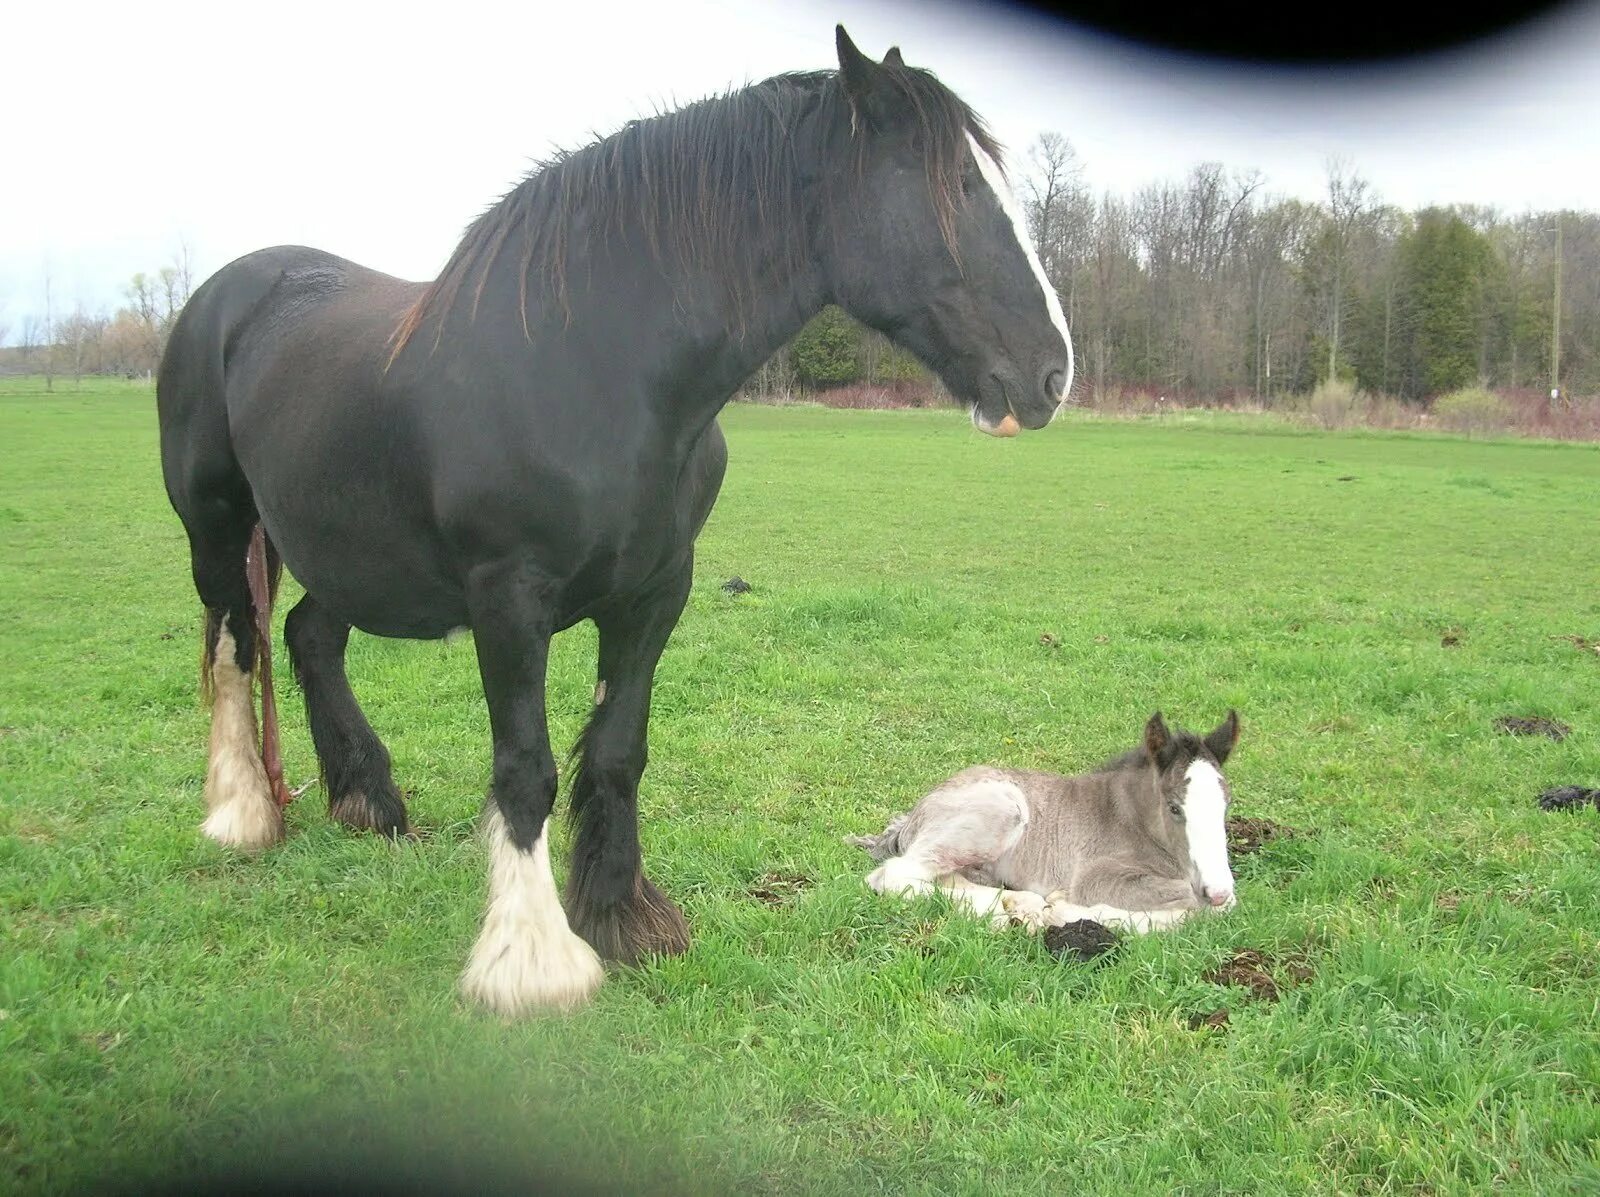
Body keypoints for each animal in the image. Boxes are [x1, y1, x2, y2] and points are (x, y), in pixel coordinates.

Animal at [156, 28, 1075, 1017]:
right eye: (961, 187)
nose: (1053, 371)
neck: (598, 367)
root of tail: (228, 293)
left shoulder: (655, 590)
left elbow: (615, 752)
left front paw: (622, 916)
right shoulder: (509, 596)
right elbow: (526, 768)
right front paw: (532, 962)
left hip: (346, 550)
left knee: (306, 636)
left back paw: (367, 800)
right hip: (220, 529)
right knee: (233, 645)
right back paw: (242, 813)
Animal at [851, 710, 1235, 934]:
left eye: (1226, 803)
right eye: (1174, 807)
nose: (1216, 889)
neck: (1132, 818)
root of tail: (913, 815)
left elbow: (1215, 905)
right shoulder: (1096, 877)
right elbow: (1197, 904)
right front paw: (1068, 911)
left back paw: (1022, 907)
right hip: (999, 812)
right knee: (892, 875)